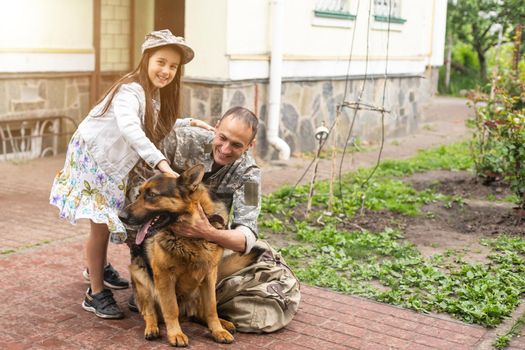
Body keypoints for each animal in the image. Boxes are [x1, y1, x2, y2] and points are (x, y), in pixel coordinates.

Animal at [121, 165, 264, 348]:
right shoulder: (164, 276)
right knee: (149, 312)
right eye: (138, 194)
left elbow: (211, 308)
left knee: (200, 313)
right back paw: (152, 328)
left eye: (151, 195)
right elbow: (171, 308)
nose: (121, 216)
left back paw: (223, 324)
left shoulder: (209, 276)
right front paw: (175, 334)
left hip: (200, 289)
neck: (190, 239)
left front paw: (217, 331)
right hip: (141, 276)